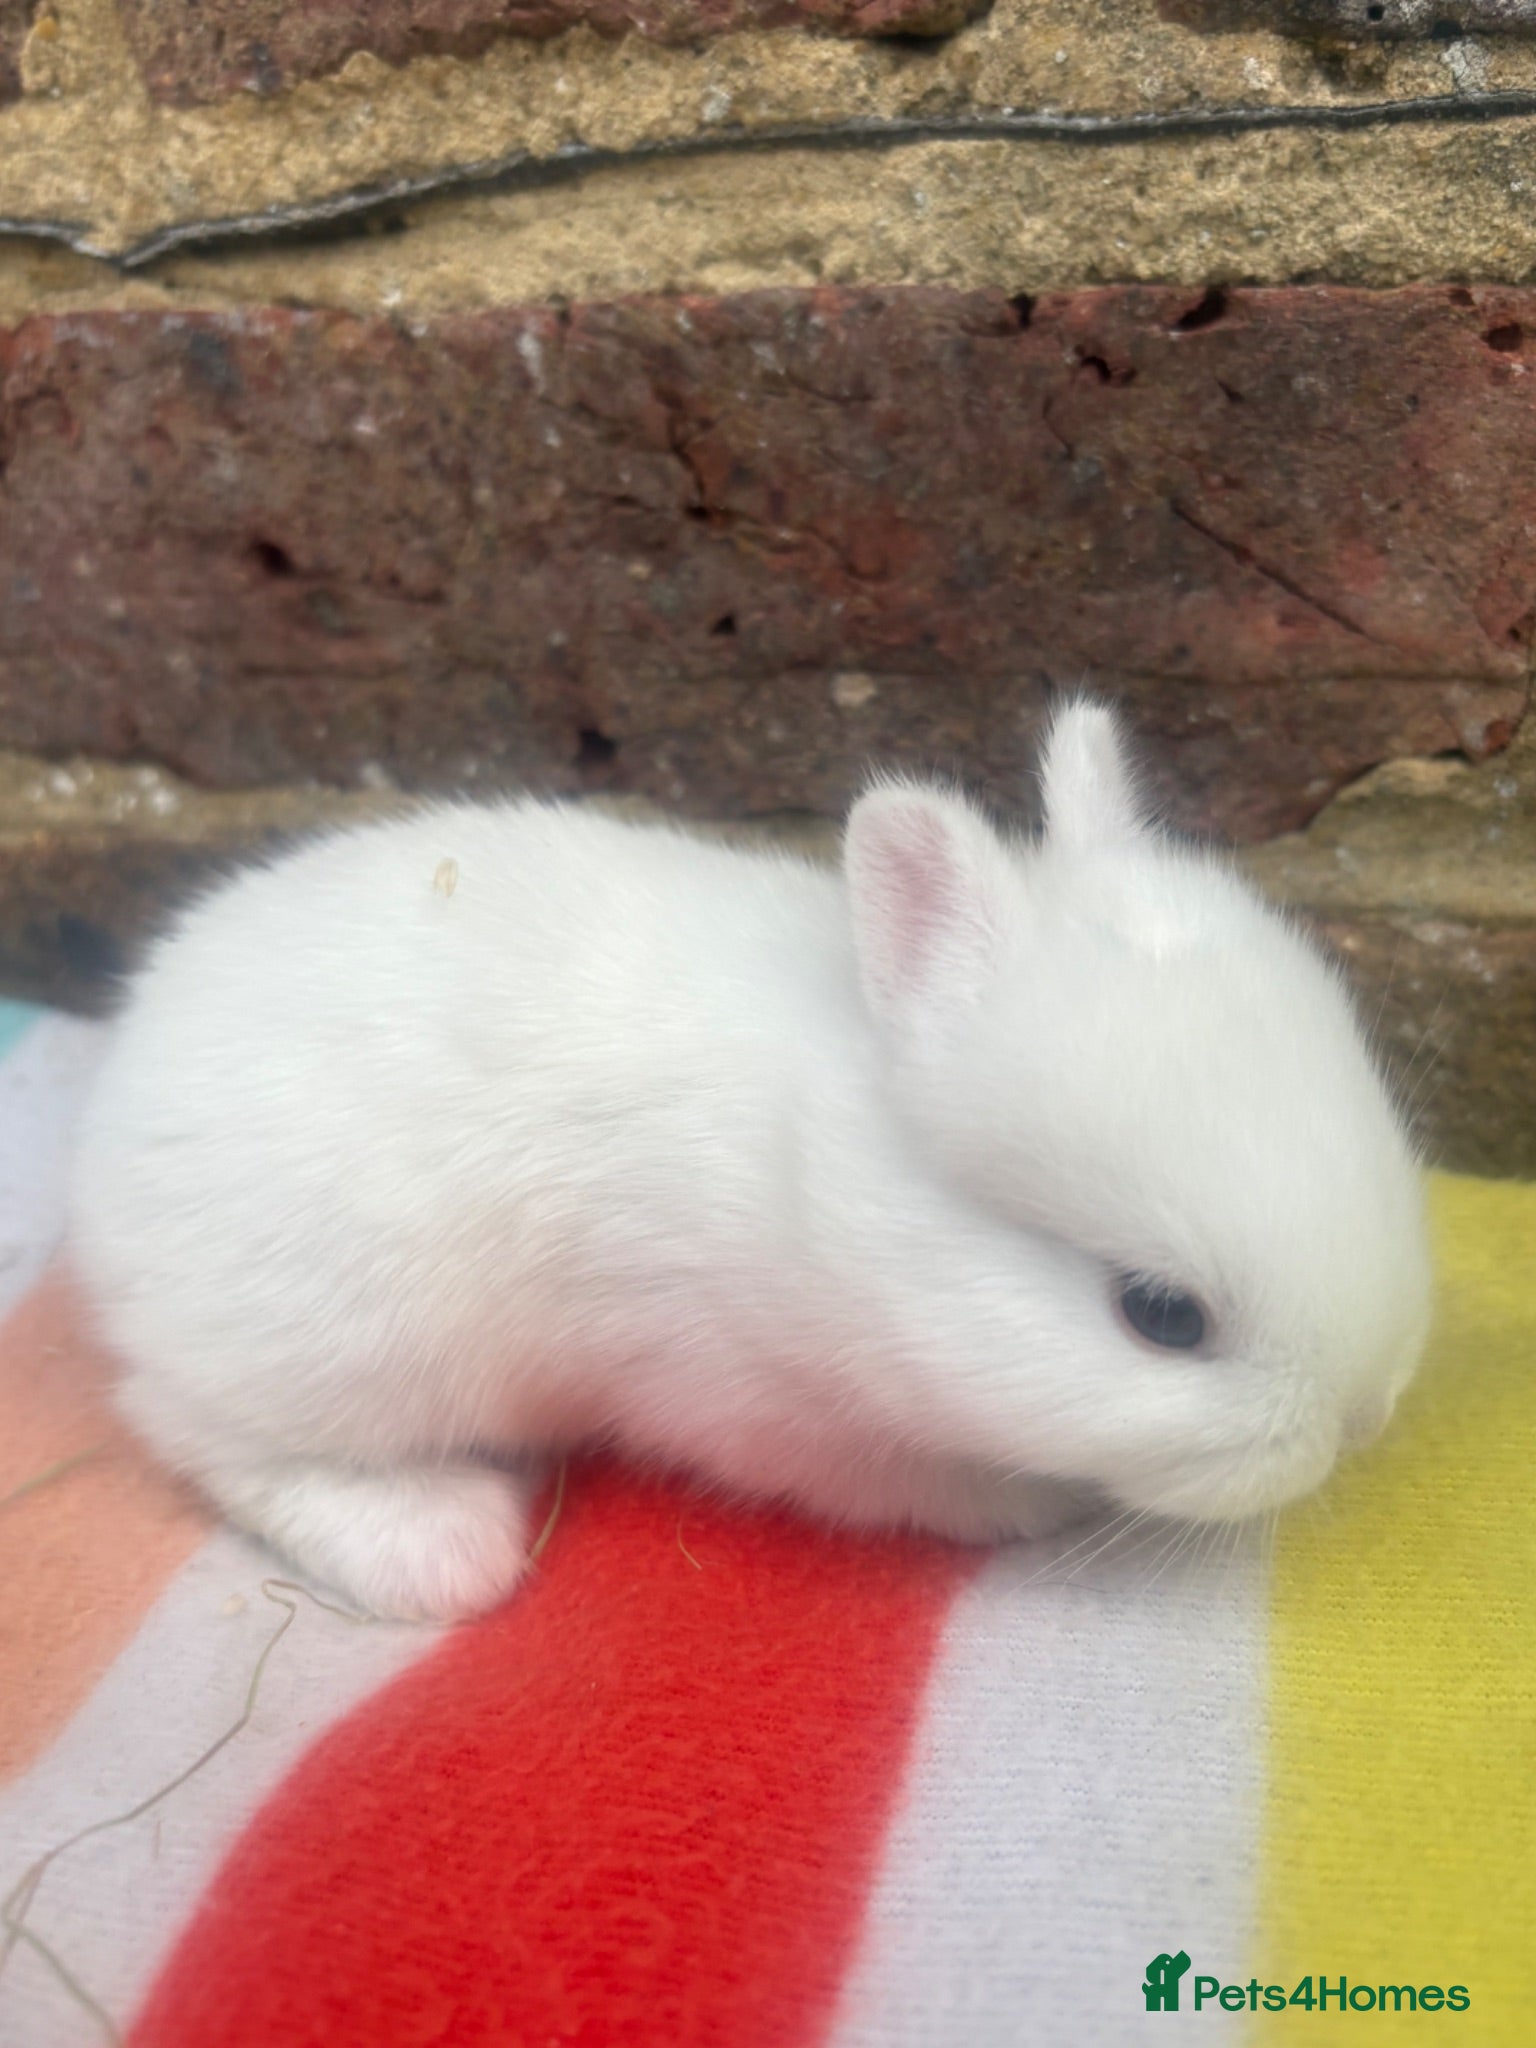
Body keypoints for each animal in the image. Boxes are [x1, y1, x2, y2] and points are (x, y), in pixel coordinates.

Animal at [67, 703, 1433, 1621]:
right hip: (337, 1344)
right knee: (194, 1431)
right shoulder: (763, 1406)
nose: (1367, 1417)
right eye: (1161, 1315)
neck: (826, 1185)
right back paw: (443, 1544)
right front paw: (1040, 1506)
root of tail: (118, 1104)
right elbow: (933, 1485)